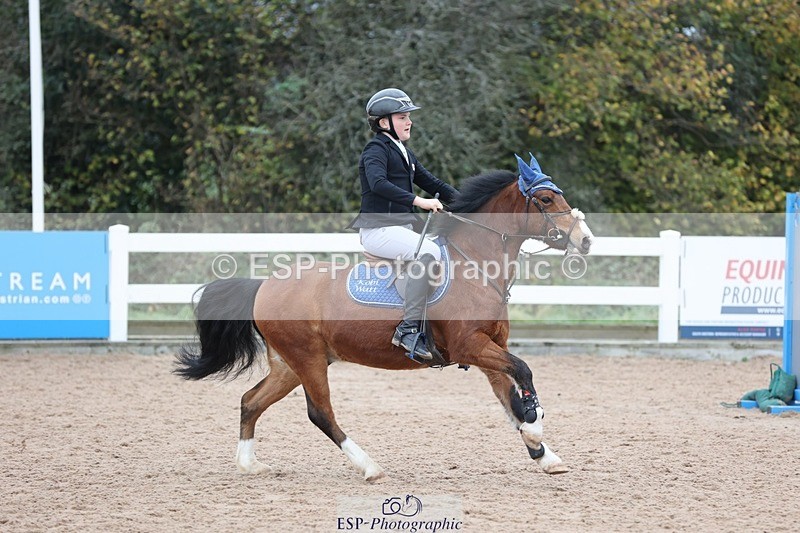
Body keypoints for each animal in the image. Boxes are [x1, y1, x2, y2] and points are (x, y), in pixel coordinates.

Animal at [175, 154, 594, 483]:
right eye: (545, 198)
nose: (586, 240)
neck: (474, 264)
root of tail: (264, 285)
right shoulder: (471, 346)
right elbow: (524, 372)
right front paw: (536, 428)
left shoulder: (490, 349)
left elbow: (511, 400)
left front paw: (544, 453)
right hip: (307, 359)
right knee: (320, 413)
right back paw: (369, 467)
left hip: (289, 364)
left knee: (251, 400)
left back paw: (250, 464)